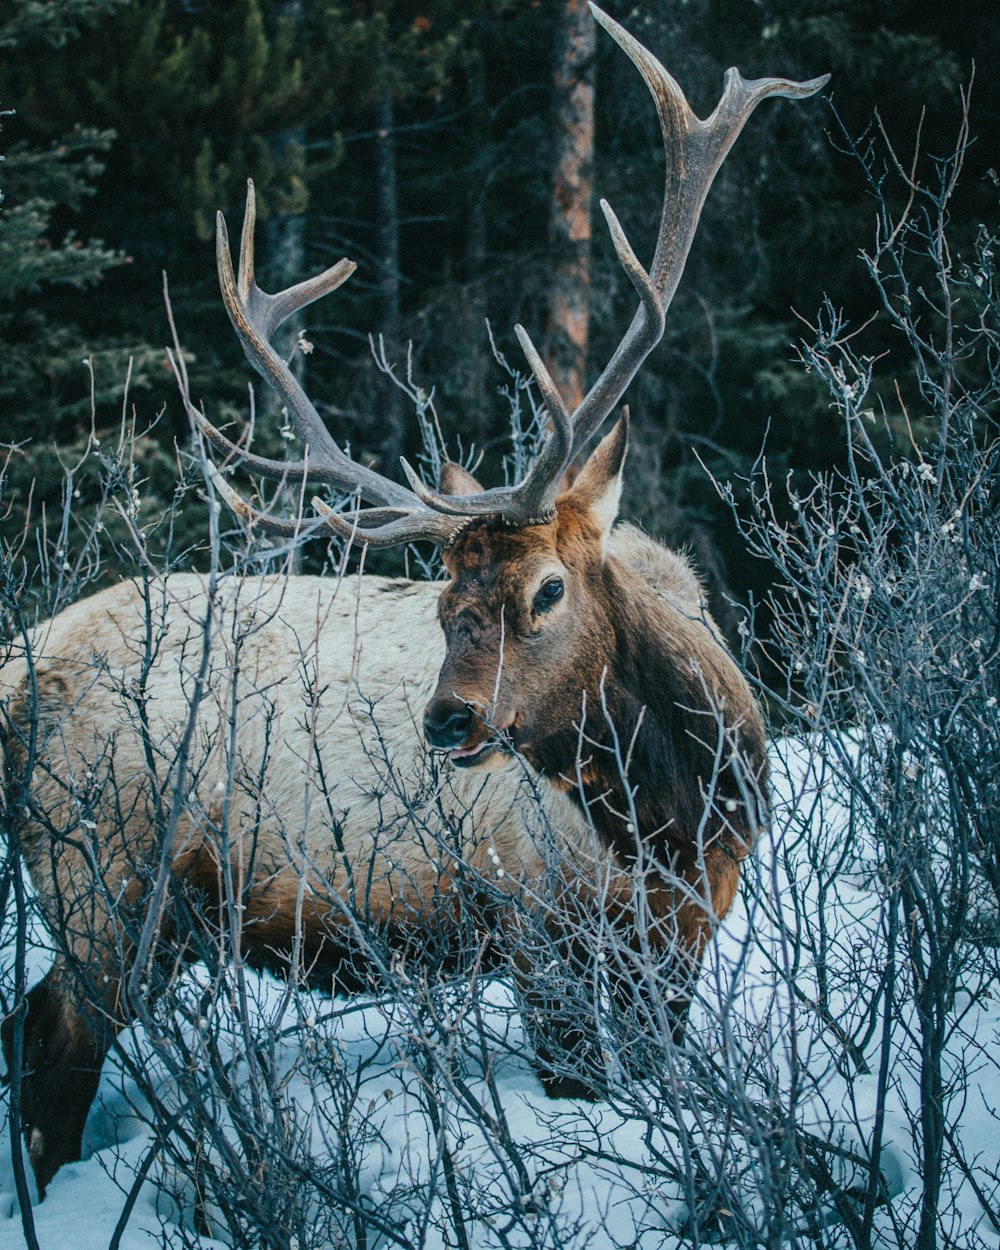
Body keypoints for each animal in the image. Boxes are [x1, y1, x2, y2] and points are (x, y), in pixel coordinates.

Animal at [1, 7, 830, 1200]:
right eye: (442, 601)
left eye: (546, 587)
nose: (448, 720)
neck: (682, 814)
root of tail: (15, 668)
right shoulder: (541, 938)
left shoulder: (682, 944)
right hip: (98, 873)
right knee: (52, 1051)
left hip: (152, 912)